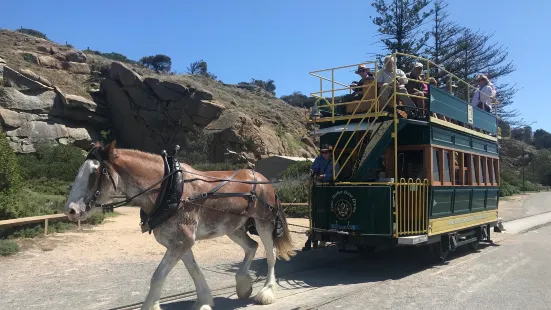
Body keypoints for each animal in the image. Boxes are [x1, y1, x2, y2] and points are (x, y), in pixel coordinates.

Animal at [63, 141, 298, 310]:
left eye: (94, 173)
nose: (70, 210)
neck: (170, 188)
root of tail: (263, 180)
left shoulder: (182, 240)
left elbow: (158, 276)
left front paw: (151, 305)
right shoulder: (178, 242)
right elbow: (193, 269)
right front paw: (204, 300)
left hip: (264, 223)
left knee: (270, 255)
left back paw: (266, 292)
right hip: (233, 228)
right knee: (251, 247)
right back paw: (243, 284)